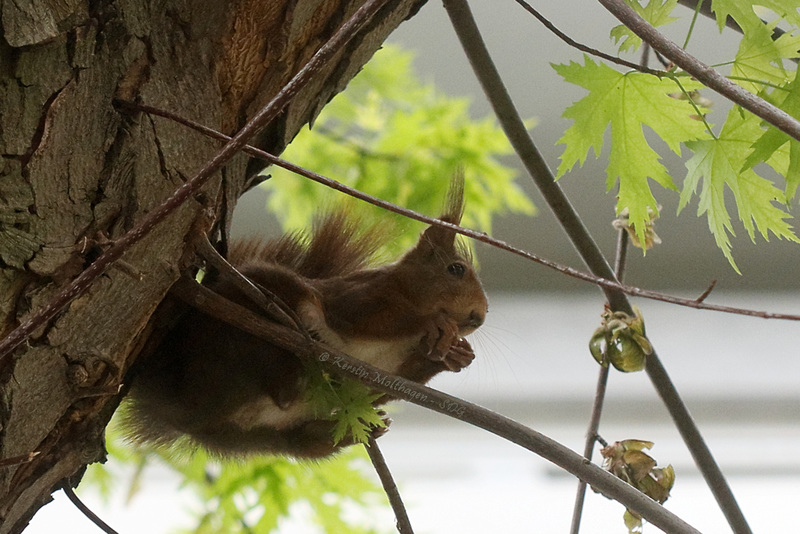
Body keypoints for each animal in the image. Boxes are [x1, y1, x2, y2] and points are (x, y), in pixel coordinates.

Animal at [125, 177, 488, 460]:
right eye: (456, 270)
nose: (480, 317)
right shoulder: (359, 297)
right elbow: (375, 317)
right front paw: (436, 326)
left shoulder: (383, 368)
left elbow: (382, 387)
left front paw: (455, 354)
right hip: (240, 334)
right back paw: (300, 352)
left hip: (258, 436)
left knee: (305, 439)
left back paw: (351, 428)